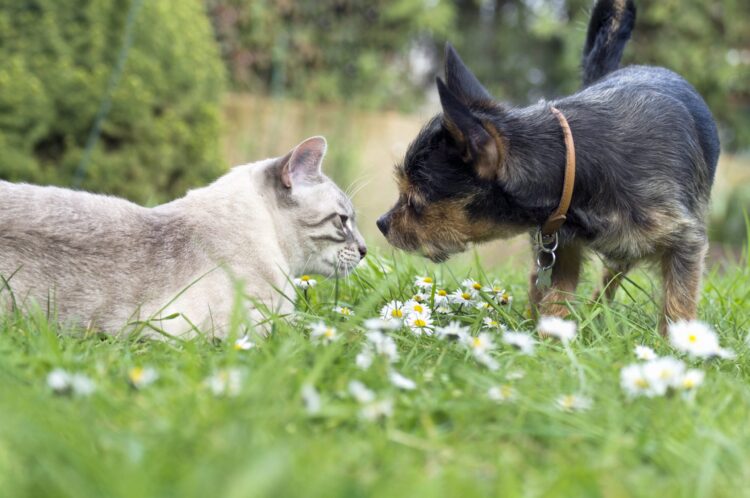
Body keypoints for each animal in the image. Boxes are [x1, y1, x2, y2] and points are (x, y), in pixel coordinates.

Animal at [378, 0, 720, 334]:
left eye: (416, 200)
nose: (382, 223)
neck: (573, 161)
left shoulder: (685, 242)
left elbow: (678, 302)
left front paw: (676, 345)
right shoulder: (560, 251)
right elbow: (556, 302)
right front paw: (549, 341)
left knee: (612, 275)